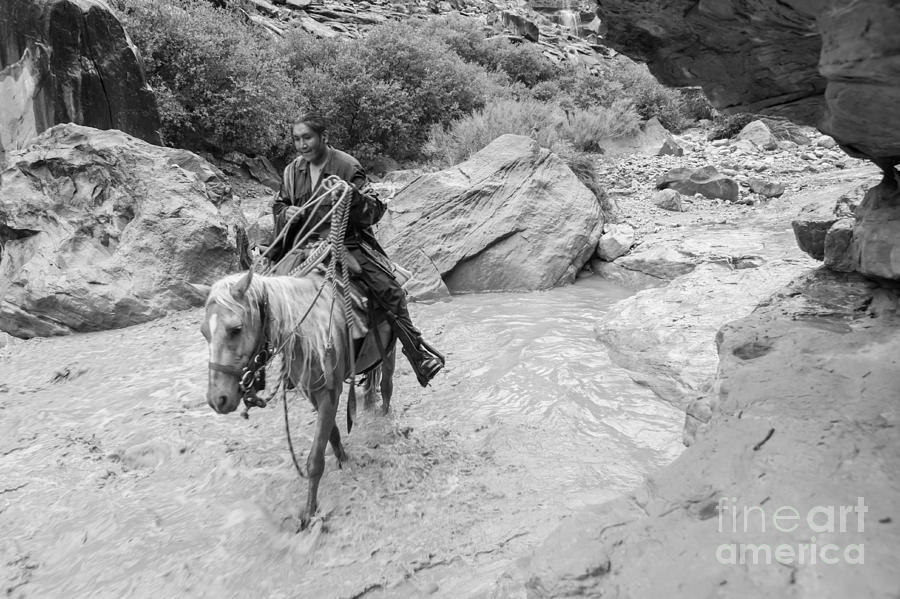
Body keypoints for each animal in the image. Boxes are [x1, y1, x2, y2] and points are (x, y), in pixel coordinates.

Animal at [207, 270, 398, 528]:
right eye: (204, 332)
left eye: (235, 328)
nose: (217, 399)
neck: (307, 332)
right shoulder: (312, 392)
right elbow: (332, 434)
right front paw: (343, 459)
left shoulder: (330, 392)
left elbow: (315, 458)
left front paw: (309, 513)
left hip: (390, 350)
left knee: (386, 385)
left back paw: (384, 415)